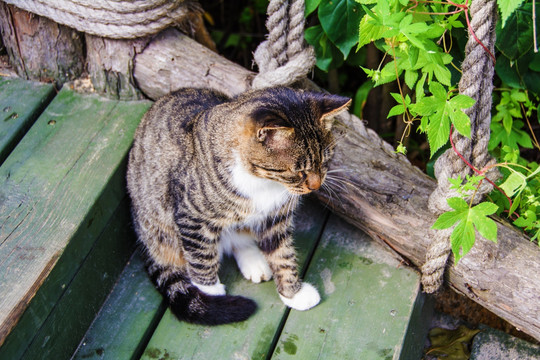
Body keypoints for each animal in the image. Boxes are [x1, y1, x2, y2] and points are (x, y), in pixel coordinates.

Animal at [126, 86, 350, 324]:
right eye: (298, 171)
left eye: (324, 161)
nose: (316, 186)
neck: (262, 182)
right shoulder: (192, 217)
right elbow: (201, 257)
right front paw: (210, 295)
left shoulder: (275, 218)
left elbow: (282, 255)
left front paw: (294, 294)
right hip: (159, 230)